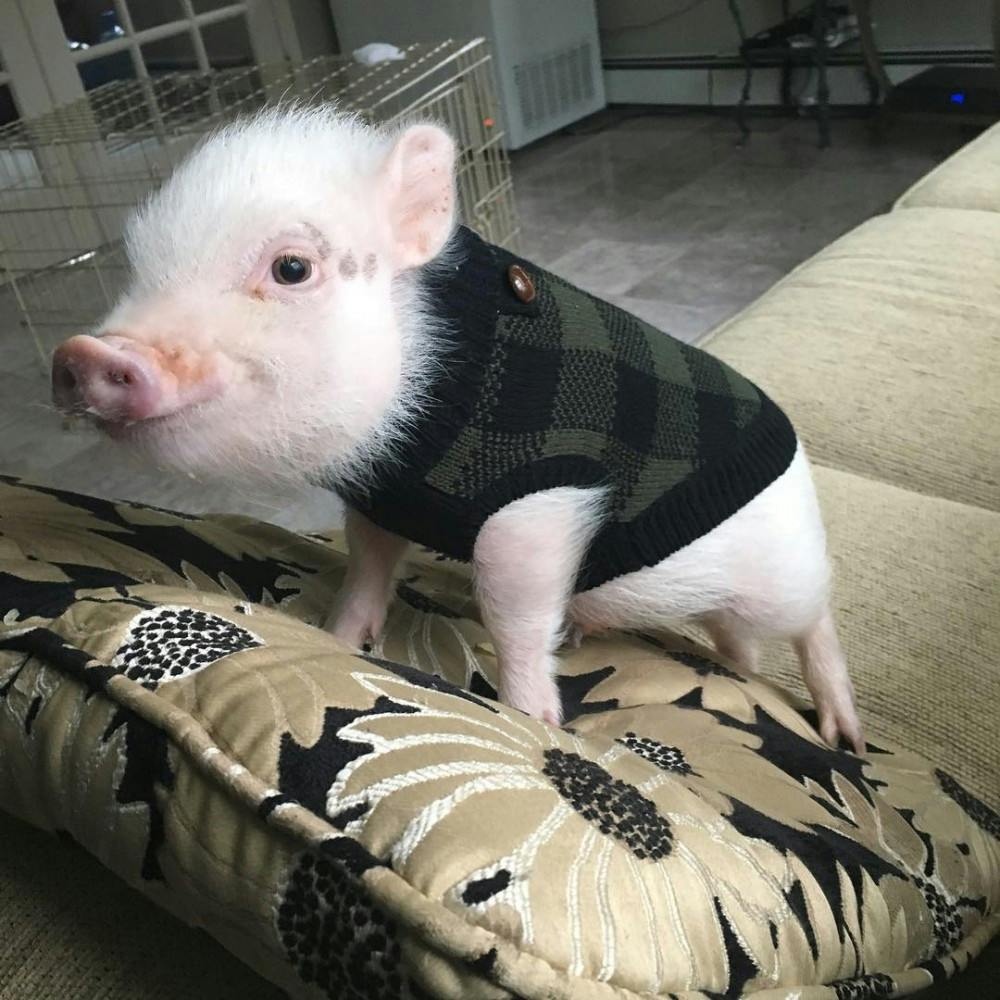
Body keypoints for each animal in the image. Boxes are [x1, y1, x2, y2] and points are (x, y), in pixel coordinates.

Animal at [50, 106, 863, 752]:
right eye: (140, 267)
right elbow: (367, 567)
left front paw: (534, 720)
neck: (412, 439)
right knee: (741, 646)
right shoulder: (378, 499)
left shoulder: (542, 501)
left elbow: (513, 610)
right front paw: (339, 639)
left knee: (815, 617)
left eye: (291, 268)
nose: (84, 353)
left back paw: (842, 734)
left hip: (782, 575)